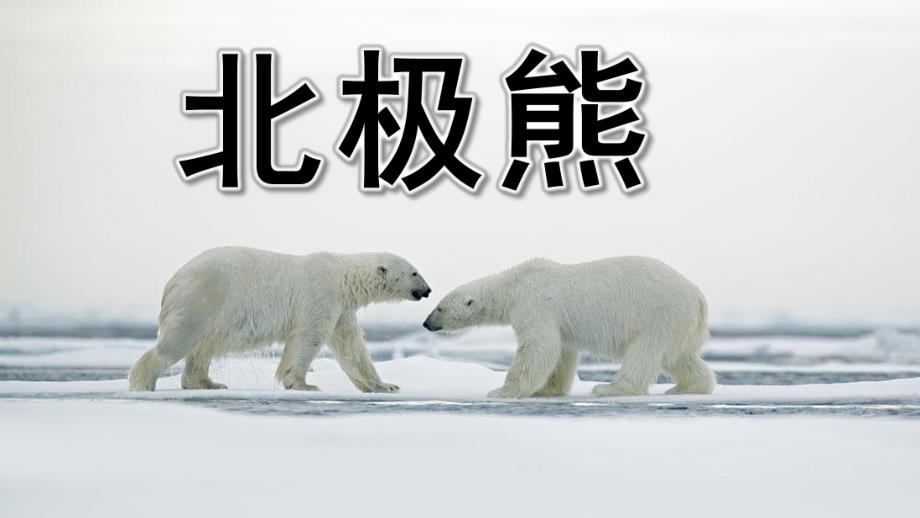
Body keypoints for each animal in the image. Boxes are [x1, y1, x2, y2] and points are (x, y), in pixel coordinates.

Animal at [129, 247, 431, 392]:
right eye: (414, 272)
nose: (427, 290)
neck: (343, 277)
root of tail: (173, 281)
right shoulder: (320, 295)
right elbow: (308, 338)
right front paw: (303, 384)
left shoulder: (342, 309)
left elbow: (352, 348)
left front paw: (385, 386)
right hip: (203, 296)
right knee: (179, 341)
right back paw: (143, 382)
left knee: (202, 349)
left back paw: (208, 383)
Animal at [422, 256, 715, 398]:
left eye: (440, 307)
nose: (426, 323)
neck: (514, 285)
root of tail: (698, 296)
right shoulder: (556, 321)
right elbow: (561, 353)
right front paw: (548, 390)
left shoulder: (535, 304)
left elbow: (539, 347)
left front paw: (503, 391)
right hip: (679, 324)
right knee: (680, 357)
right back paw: (687, 387)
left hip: (659, 314)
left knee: (644, 353)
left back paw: (611, 388)